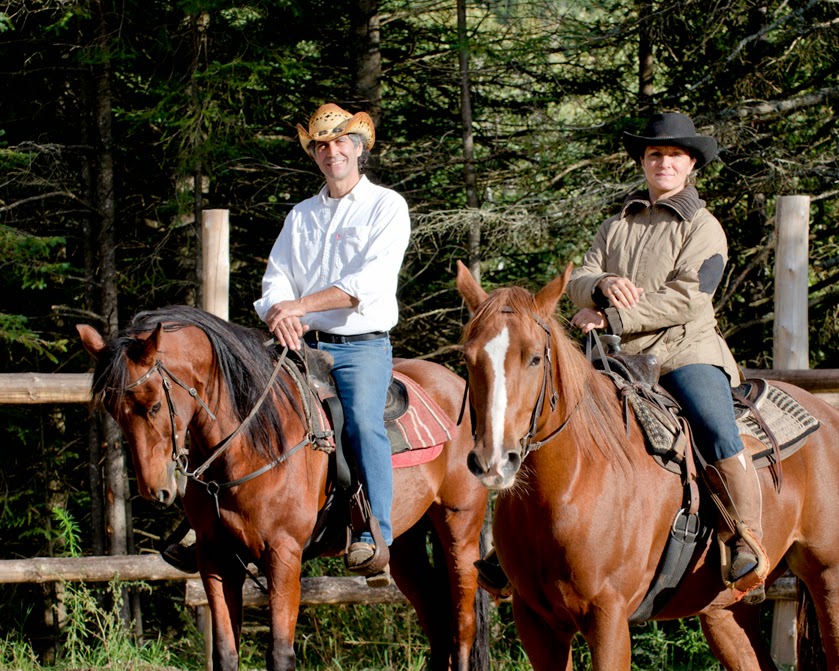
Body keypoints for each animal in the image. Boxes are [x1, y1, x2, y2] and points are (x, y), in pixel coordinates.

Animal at [77, 306, 492, 671]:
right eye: (112, 408)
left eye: (152, 406)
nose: (156, 490)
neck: (253, 441)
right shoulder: (216, 559)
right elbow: (225, 653)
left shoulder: (283, 554)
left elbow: (279, 654)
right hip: (405, 545)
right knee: (437, 623)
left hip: (460, 531)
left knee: (462, 628)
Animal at [456, 262, 839, 671]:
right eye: (469, 358)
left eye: (534, 358)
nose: (494, 460)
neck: (570, 484)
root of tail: (826, 413)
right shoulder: (537, 624)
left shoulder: (608, 619)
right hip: (726, 611)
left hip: (828, 579)